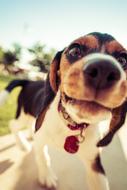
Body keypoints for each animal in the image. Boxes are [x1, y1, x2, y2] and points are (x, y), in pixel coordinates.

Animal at [33, 32, 127, 190]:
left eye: (122, 60)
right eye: (74, 50)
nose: (104, 69)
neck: (72, 124)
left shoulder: (94, 163)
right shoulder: (39, 139)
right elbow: (42, 156)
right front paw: (47, 176)